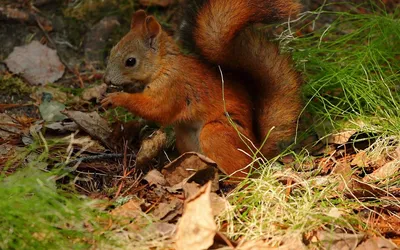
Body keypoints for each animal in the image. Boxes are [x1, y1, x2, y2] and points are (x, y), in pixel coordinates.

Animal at [101, 0, 302, 179]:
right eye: (111, 51)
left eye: (130, 61)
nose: (106, 79)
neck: (164, 66)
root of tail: (257, 151)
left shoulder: (173, 87)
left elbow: (156, 110)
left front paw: (116, 98)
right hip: (185, 136)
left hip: (215, 134)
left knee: (244, 172)